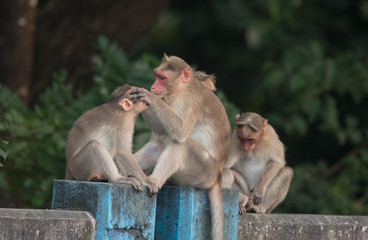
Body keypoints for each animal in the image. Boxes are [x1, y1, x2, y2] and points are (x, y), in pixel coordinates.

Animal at [129, 54, 230, 240]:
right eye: (156, 75)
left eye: (162, 78)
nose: (153, 86)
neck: (181, 89)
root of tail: (216, 177)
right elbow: (162, 130)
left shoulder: (191, 103)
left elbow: (180, 131)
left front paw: (148, 96)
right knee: (160, 143)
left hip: (201, 172)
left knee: (182, 145)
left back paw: (153, 181)